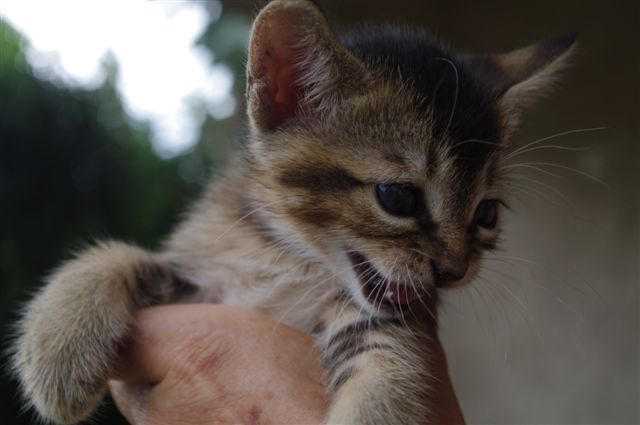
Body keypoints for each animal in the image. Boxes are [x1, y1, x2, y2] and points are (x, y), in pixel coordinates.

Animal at [11, 1, 576, 422]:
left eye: (486, 214)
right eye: (397, 198)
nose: (455, 270)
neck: (291, 260)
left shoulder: (386, 329)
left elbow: (390, 381)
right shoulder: (208, 277)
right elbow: (121, 255)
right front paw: (57, 347)